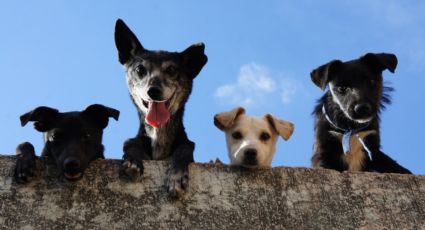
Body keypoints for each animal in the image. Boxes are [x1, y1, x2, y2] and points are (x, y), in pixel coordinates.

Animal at [113, 18, 208, 197]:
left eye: (171, 69)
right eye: (140, 69)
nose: (153, 91)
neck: (158, 135)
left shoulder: (186, 146)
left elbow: (184, 148)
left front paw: (177, 176)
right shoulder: (135, 141)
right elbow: (131, 143)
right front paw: (133, 161)